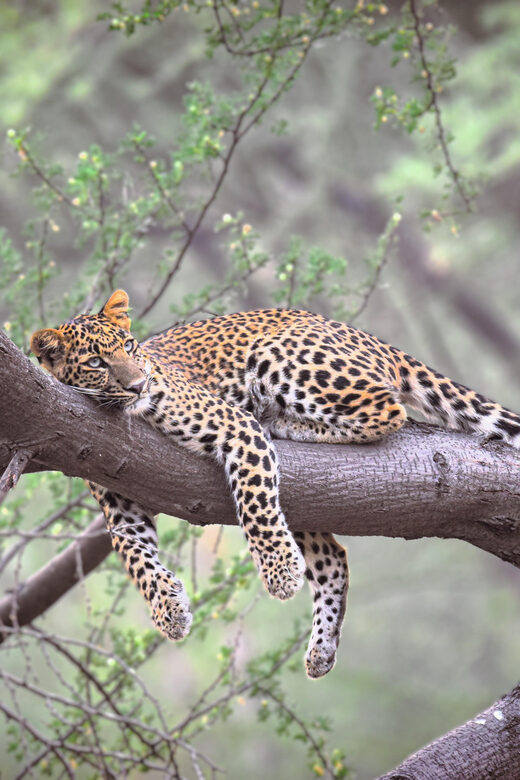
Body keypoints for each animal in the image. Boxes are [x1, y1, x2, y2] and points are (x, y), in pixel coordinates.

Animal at [30, 290, 520, 678]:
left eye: (130, 346)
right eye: (97, 362)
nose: (138, 384)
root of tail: (365, 334)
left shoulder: (235, 426)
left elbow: (256, 504)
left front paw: (280, 572)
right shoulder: (120, 501)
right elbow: (137, 559)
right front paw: (168, 610)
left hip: (280, 357)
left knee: (387, 411)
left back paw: (285, 423)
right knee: (334, 558)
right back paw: (321, 650)